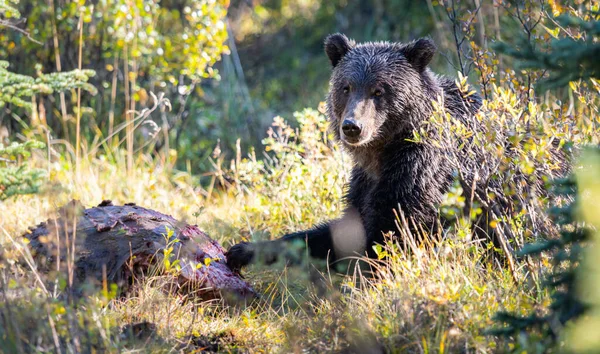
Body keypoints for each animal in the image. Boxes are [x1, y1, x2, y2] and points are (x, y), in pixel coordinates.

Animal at [225, 34, 488, 272]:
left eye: (379, 90)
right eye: (346, 87)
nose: (352, 126)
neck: (380, 152)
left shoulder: (421, 171)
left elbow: (389, 235)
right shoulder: (363, 181)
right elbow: (339, 234)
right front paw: (242, 250)